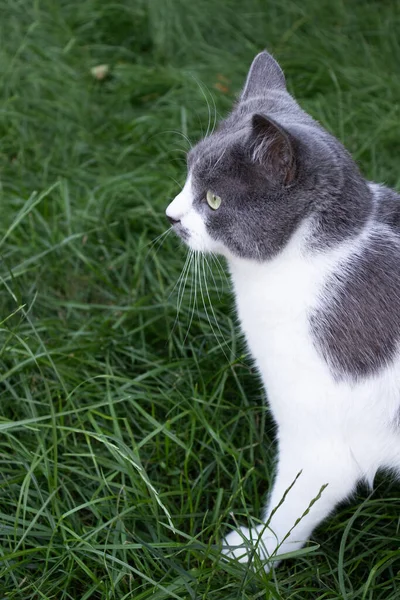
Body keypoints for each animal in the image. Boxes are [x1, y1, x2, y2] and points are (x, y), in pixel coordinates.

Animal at [164, 50, 400, 568]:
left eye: (213, 199)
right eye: (187, 175)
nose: (169, 216)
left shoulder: (320, 438)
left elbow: (293, 507)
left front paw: (251, 555)